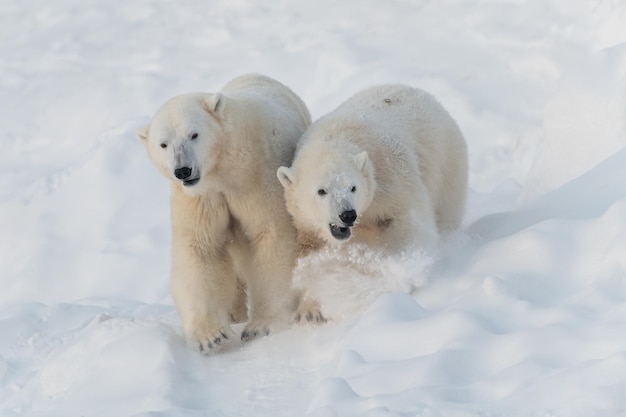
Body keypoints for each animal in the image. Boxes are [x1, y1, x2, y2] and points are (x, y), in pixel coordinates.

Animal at [136, 73, 322, 350]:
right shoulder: (199, 198)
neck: (222, 167)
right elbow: (199, 247)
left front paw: (262, 325)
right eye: (163, 144)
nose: (183, 170)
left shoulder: (256, 180)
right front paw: (211, 336)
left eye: (194, 134)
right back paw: (234, 313)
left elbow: (272, 235)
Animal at [276, 83, 466, 255]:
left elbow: (409, 221)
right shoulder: (306, 223)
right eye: (321, 191)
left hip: (448, 161)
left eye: (353, 187)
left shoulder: (390, 179)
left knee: (447, 209)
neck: (334, 140)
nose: (348, 215)